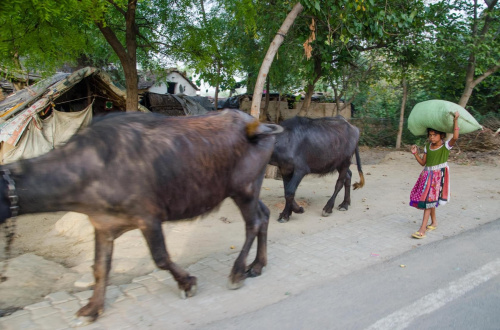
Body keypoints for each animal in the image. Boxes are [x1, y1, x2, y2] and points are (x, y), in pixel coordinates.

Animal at [0, 109, 282, 324]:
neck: (90, 170)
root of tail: (257, 125)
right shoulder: (102, 226)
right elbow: (100, 268)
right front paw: (92, 308)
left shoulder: (148, 218)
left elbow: (161, 258)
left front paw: (187, 283)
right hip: (251, 188)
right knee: (265, 215)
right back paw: (257, 266)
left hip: (244, 189)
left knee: (253, 223)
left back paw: (237, 273)